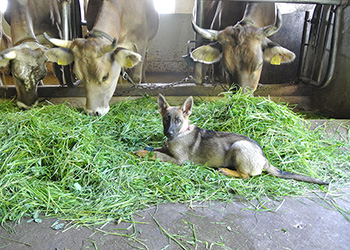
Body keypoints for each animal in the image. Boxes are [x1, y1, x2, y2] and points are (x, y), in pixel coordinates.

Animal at [134, 94, 328, 186]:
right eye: (166, 119)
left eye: (178, 120)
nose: (168, 133)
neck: (182, 133)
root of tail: (265, 159)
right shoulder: (167, 148)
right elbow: (156, 149)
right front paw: (143, 149)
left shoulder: (179, 160)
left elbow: (157, 155)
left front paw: (143, 153)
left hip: (239, 147)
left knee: (246, 175)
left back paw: (227, 171)